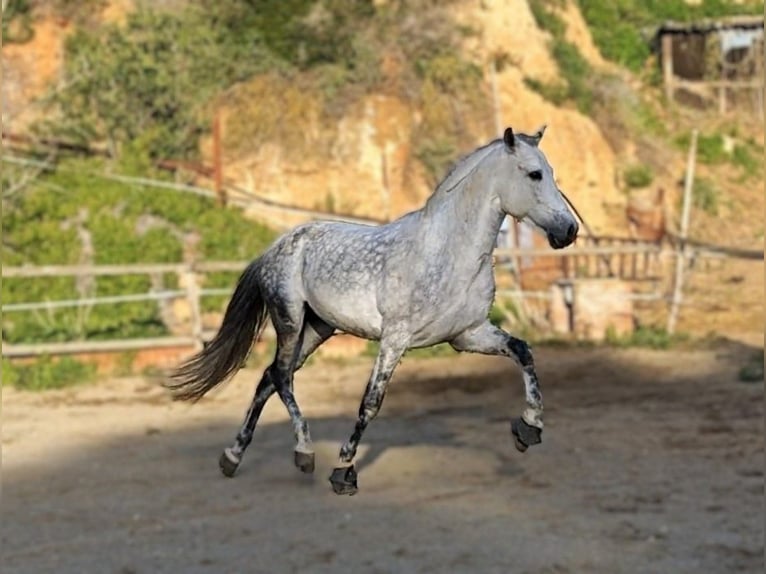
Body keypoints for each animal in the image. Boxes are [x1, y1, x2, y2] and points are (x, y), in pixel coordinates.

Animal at [166, 127, 576, 496]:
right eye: (534, 173)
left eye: (553, 172)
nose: (569, 230)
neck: (448, 253)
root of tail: (275, 246)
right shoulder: (395, 339)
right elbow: (370, 402)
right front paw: (343, 471)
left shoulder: (469, 334)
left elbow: (523, 351)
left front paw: (528, 429)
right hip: (290, 321)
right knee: (282, 378)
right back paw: (304, 453)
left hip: (316, 330)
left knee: (269, 378)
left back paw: (232, 457)